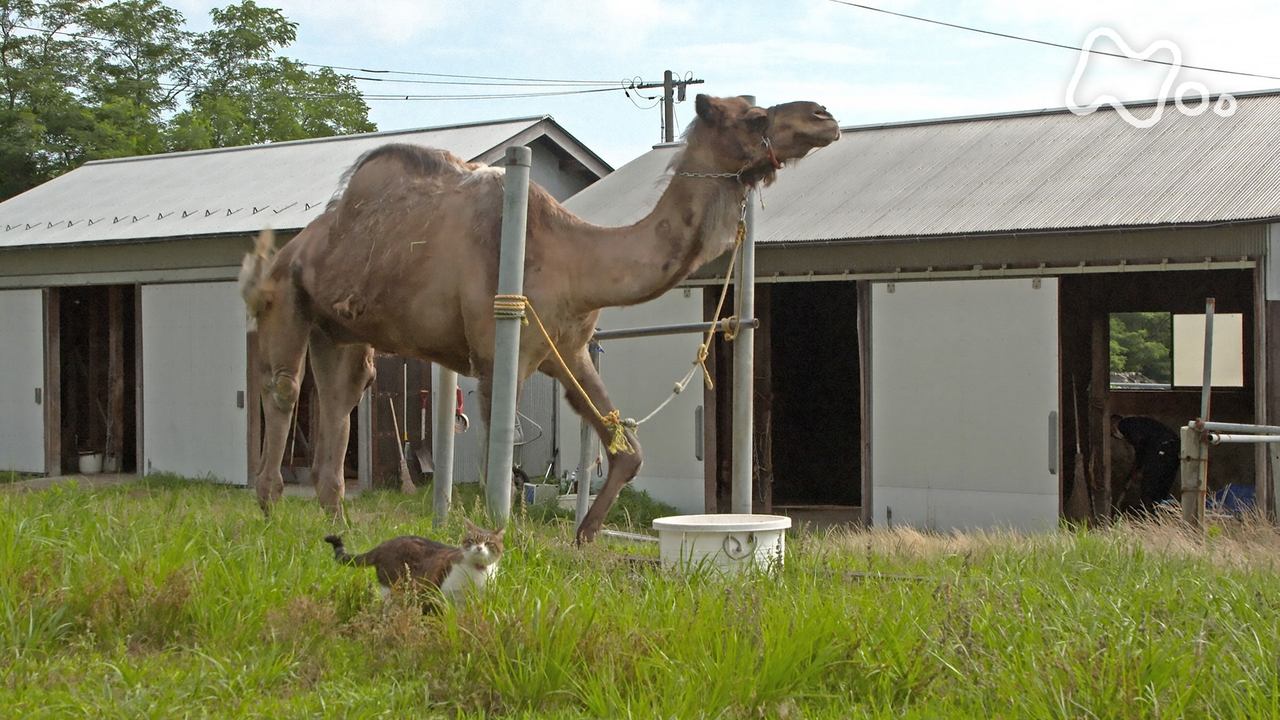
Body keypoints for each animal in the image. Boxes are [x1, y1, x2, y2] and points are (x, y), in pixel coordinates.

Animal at [239, 96, 839, 543]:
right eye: (754, 117)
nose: (823, 116)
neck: (574, 258)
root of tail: (293, 249)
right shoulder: (495, 356)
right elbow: (500, 470)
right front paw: (491, 540)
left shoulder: (566, 352)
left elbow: (627, 450)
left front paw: (584, 536)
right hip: (287, 299)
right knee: (283, 388)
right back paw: (268, 515)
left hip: (339, 331)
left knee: (341, 399)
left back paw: (337, 527)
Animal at [325, 517, 504, 602]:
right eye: (472, 541)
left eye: (489, 543)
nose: (479, 548)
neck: (477, 572)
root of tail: (385, 543)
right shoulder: (445, 593)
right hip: (393, 587)